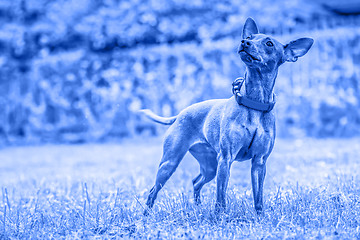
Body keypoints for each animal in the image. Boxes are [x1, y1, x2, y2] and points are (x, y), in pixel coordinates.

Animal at [141, 18, 312, 214]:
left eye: (269, 43)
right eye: (249, 37)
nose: (244, 42)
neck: (255, 103)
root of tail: (180, 114)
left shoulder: (259, 163)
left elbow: (258, 196)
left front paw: (260, 215)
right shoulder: (225, 158)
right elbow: (221, 196)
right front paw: (220, 215)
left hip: (209, 167)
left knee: (196, 181)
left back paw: (198, 207)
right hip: (170, 162)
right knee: (154, 190)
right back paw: (147, 214)